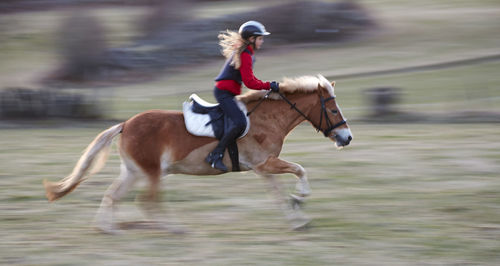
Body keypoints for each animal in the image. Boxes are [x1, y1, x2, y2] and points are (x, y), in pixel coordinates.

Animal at [45, 74, 354, 233]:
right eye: (333, 110)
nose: (347, 138)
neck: (267, 118)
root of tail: (126, 124)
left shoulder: (264, 169)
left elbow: (279, 195)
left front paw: (297, 216)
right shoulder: (265, 164)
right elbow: (300, 170)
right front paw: (299, 201)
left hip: (134, 171)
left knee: (113, 195)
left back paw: (108, 229)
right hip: (152, 172)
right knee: (147, 201)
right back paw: (172, 228)